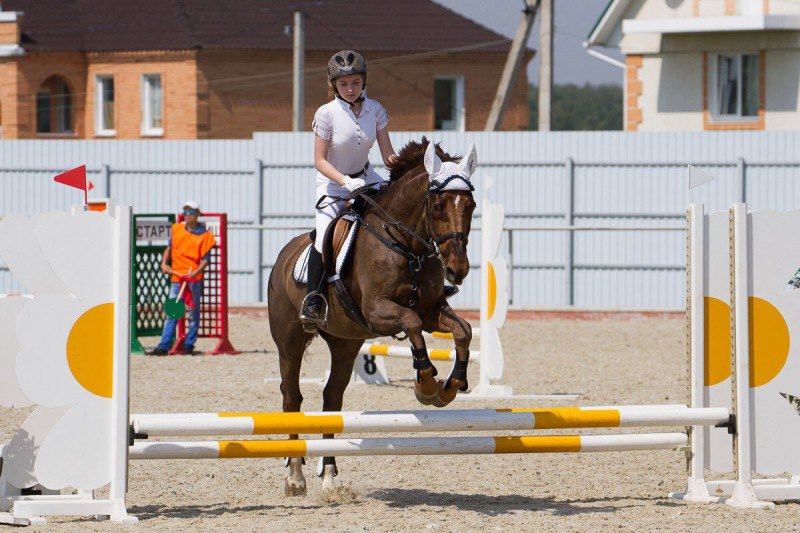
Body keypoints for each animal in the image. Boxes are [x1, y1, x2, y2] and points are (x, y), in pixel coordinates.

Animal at [266, 137, 478, 494]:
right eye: (437, 206)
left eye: (471, 206)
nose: (457, 271)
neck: (407, 245)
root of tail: (283, 256)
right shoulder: (378, 311)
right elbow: (412, 323)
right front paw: (426, 383)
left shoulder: (432, 311)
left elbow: (463, 330)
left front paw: (452, 384)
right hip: (291, 341)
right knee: (292, 397)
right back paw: (295, 476)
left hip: (345, 342)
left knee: (332, 397)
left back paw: (330, 474)